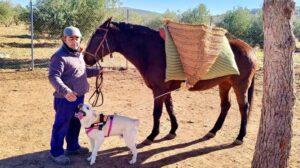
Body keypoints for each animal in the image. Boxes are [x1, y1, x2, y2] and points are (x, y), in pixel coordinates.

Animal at [84, 18, 255, 144]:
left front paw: (152, 135)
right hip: (224, 84)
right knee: (226, 105)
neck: (151, 50)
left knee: (243, 108)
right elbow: (170, 108)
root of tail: (250, 49)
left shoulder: (159, 90)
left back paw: (240, 136)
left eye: (98, 35)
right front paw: (173, 131)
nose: (86, 58)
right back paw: (212, 131)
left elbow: (157, 113)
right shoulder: (165, 90)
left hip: (240, 85)